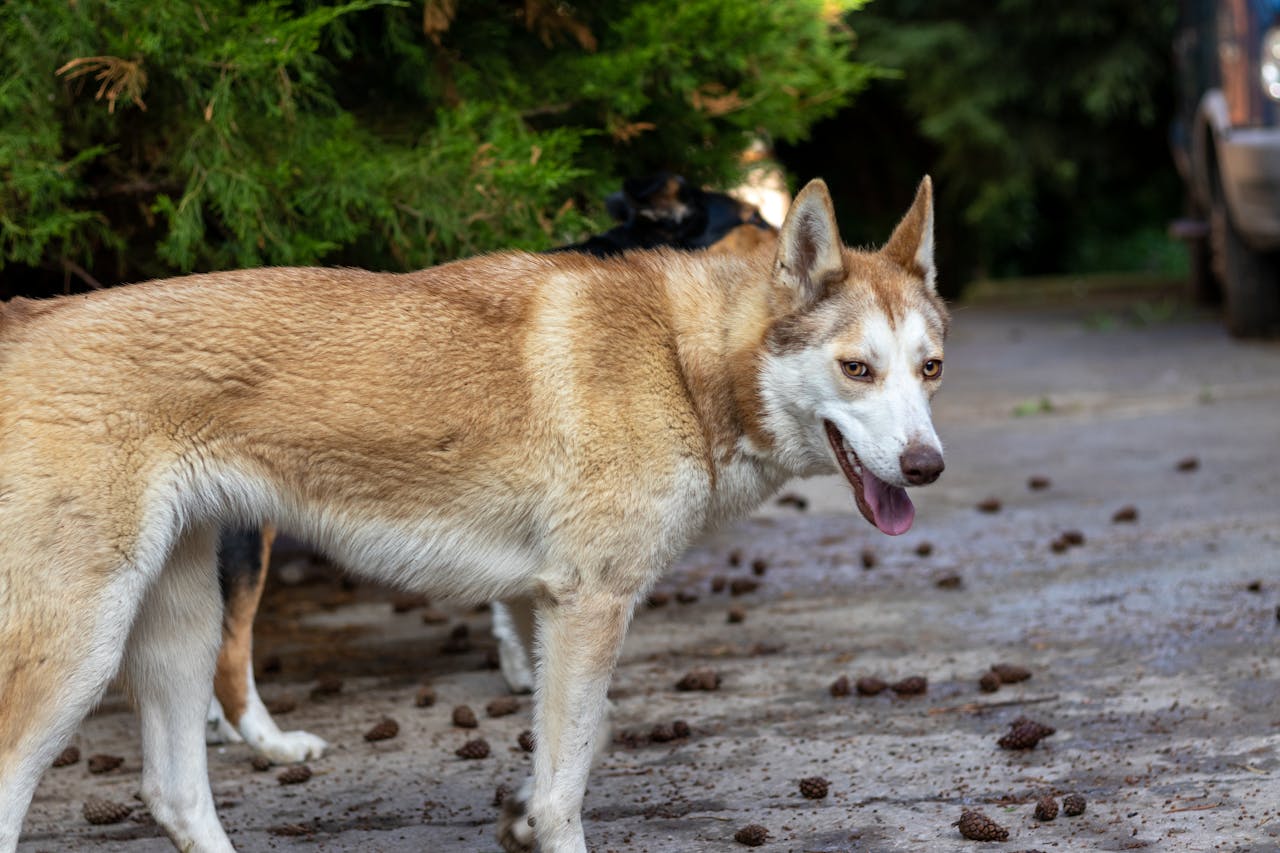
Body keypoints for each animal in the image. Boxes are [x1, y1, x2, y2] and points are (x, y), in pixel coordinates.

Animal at [0, 178, 942, 850]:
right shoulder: (590, 606)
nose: (927, 466)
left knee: (176, 795)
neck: (678, 355)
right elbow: (567, 793)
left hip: (180, 631)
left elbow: (578, 742)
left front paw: (516, 814)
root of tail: (24, 317)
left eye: (929, 367)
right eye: (858, 368)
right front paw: (539, 819)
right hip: (82, 653)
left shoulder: (545, 609)